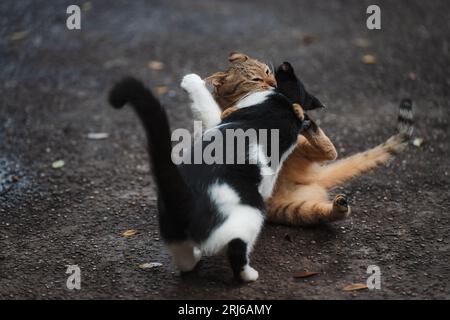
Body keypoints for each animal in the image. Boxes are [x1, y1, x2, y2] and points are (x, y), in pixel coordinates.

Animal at [108, 62, 310, 282]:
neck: (274, 110)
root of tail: (184, 196)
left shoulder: (217, 121)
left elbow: (206, 105)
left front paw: (190, 81)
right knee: (219, 253)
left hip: (193, 225)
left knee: (202, 256)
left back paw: (217, 267)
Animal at [199, 52, 414, 226]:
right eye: (255, 79)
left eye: (268, 71)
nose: (274, 84)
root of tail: (311, 179)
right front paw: (229, 111)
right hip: (292, 210)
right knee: (320, 208)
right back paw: (338, 205)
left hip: (301, 153)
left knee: (330, 151)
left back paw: (305, 120)